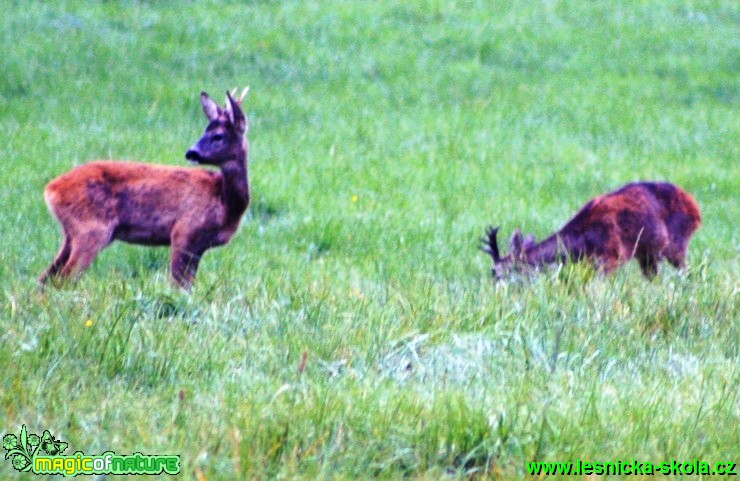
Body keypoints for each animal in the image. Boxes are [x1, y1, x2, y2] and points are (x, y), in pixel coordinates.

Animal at [38, 86, 251, 288]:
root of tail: (50, 189)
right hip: (91, 230)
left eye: (218, 136)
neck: (224, 202)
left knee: (45, 277)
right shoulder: (184, 230)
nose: (192, 152)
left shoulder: (198, 245)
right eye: (205, 132)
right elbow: (179, 284)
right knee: (65, 278)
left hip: (70, 234)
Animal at [482, 184, 704, 282]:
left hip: (676, 243)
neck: (581, 241)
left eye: (497, 271)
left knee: (689, 271)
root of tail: (696, 209)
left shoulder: (611, 257)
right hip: (647, 254)